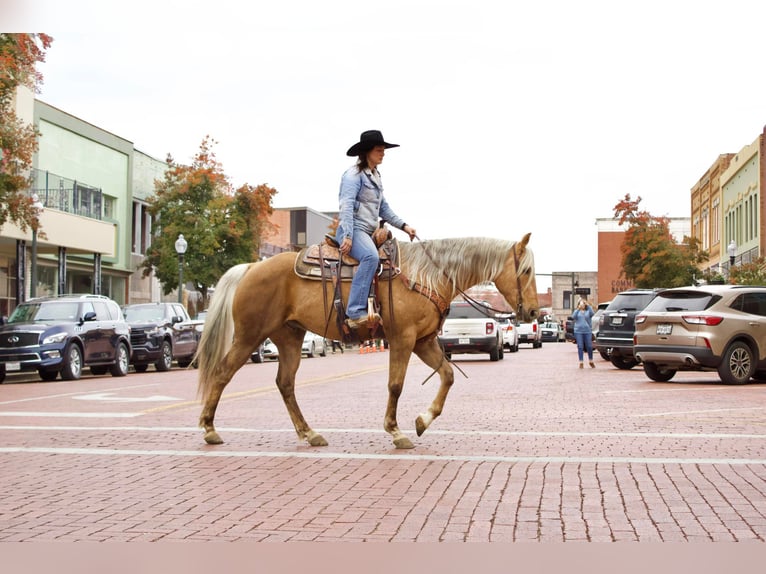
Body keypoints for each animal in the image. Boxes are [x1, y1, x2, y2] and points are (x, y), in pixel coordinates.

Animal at [198, 233, 540, 450]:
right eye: (526, 271)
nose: (534, 311)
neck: (427, 274)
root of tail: (252, 266)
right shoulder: (403, 338)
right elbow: (396, 385)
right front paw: (396, 431)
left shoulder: (423, 341)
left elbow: (447, 375)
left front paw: (422, 420)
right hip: (249, 336)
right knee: (223, 373)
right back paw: (210, 429)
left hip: (289, 338)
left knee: (285, 384)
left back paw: (309, 433)